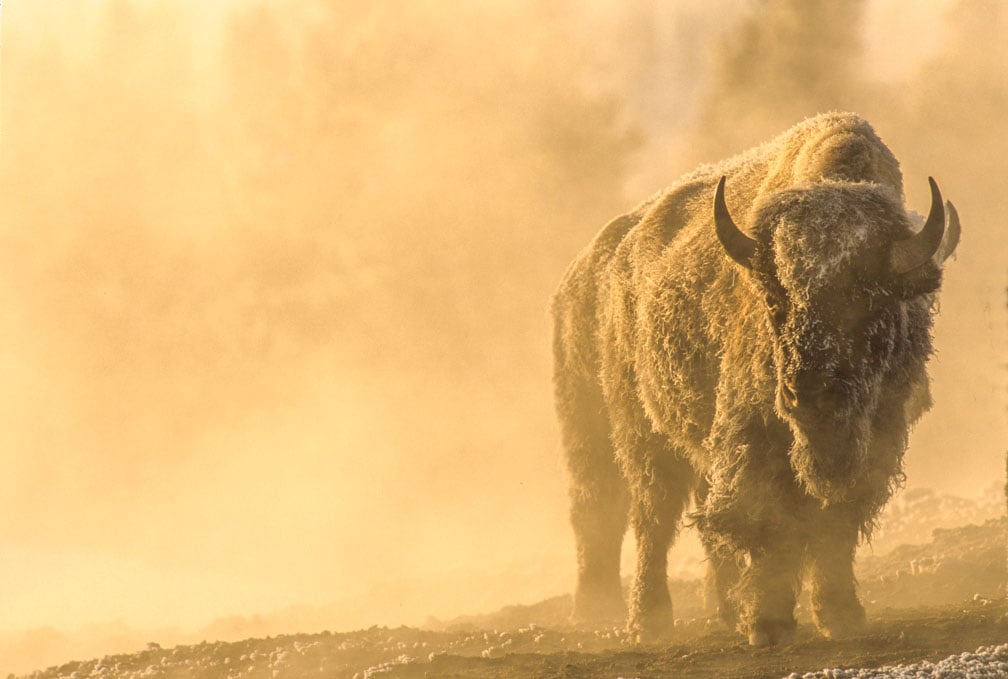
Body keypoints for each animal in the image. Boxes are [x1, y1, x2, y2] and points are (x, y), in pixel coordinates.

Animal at [551, 112, 960, 645]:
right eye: (774, 298)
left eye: (872, 299)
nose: (809, 394)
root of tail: (611, 258)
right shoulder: (754, 434)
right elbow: (765, 518)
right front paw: (768, 622)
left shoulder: (879, 436)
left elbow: (837, 518)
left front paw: (839, 614)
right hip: (629, 431)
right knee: (638, 515)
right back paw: (641, 620)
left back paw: (722, 609)